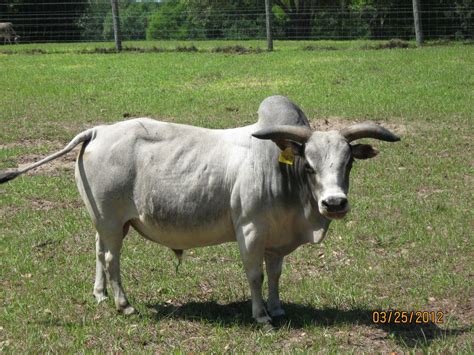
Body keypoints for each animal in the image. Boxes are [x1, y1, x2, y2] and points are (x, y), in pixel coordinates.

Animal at [0, 96, 400, 324]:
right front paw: (260, 315)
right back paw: (123, 304)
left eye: (349, 162)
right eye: (310, 166)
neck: (280, 171)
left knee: (99, 251)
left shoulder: (275, 238)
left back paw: (100, 296)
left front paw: (277, 308)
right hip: (112, 221)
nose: (334, 203)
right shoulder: (250, 230)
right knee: (112, 259)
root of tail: (98, 131)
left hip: (108, 222)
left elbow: (274, 274)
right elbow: (255, 275)